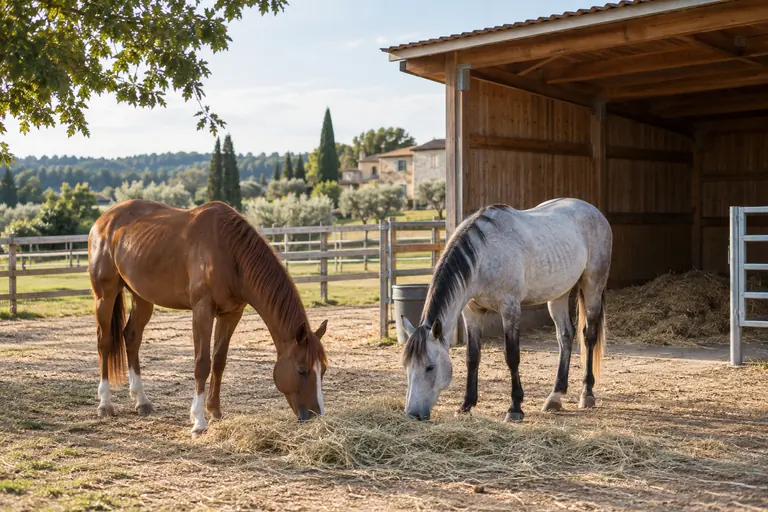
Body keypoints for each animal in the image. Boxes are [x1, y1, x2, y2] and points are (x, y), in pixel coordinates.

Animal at [87, 199, 329, 437]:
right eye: (301, 370)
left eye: (323, 370)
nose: (316, 415)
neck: (230, 253)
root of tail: (104, 221)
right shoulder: (202, 310)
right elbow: (202, 363)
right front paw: (199, 421)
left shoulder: (231, 314)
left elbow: (219, 361)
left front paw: (215, 412)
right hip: (105, 295)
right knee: (104, 343)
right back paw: (105, 404)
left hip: (142, 298)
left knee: (132, 338)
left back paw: (142, 401)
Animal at [400, 197, 612, 422]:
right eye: (407, 366)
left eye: (430, 367)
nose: (413, 414)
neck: (483, 255)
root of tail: (592, 210)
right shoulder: (472, 313)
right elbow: (472, 357)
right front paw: (466, 405)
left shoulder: (510, 309)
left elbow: (512, 356)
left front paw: (515, 408)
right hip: (558, 295)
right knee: (565, 336)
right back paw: (555, 397)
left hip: (593, 285)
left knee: (589, 336)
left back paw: (587, 394)